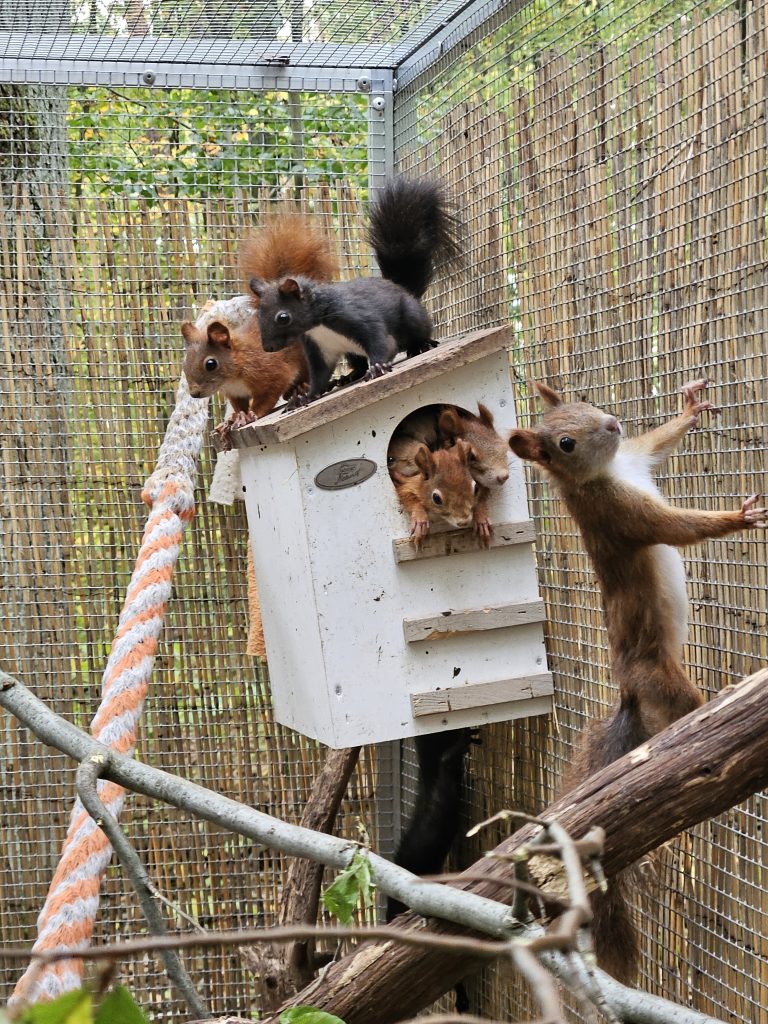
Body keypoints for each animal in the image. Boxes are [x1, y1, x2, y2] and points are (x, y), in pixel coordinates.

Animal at [181, 213, 339, 437]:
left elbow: (267, 398)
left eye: (211, 364)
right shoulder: (235, 393)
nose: (194, 393)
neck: (235, 370)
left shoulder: (270, 372)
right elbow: (239, 405)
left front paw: (251, 415)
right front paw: (232, 419)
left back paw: (302, 387)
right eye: (185, 363)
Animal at [248, 178, 463, 405]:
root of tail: (400, 287)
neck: (318, 325)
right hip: (352, 353)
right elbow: (320, 376)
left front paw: (377, 367)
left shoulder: (354, 315)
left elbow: (382, 342)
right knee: (358, 364)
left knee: (418, 332)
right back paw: (348, 376)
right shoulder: (319, 348)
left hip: (412, 316)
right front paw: (305, 397)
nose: (268, 348)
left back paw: (420, 346)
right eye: (258, 315)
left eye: (283, 317)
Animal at [508, 378, 767, 982]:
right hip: (663, 679)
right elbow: (677, 527)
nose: (610, 423)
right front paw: (738, 519)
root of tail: (628, 686)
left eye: (584, 404)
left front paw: (690, 410)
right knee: (685, 719)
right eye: (564, 442)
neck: (610, 471)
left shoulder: (637, 457)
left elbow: (658, 441)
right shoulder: (621, 515)